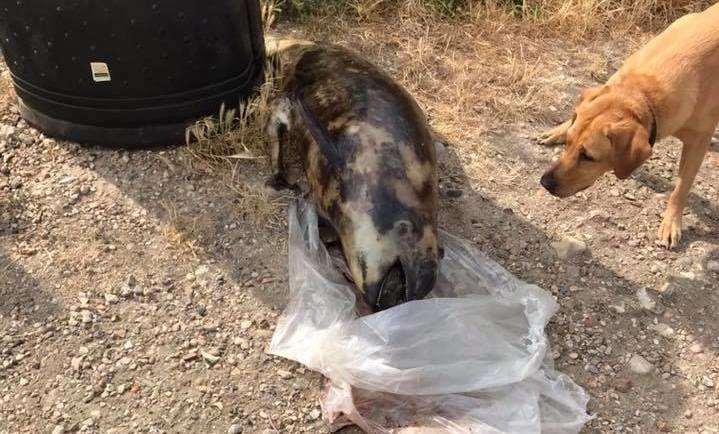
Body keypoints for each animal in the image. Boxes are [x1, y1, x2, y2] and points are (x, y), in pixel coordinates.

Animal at [540, 3, 719, 249]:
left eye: (588, 157)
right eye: (567, 143)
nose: (544, 183)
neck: (644, 93)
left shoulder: (698, 142)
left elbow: (681, 189)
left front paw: (671, 223)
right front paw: (560, 128)